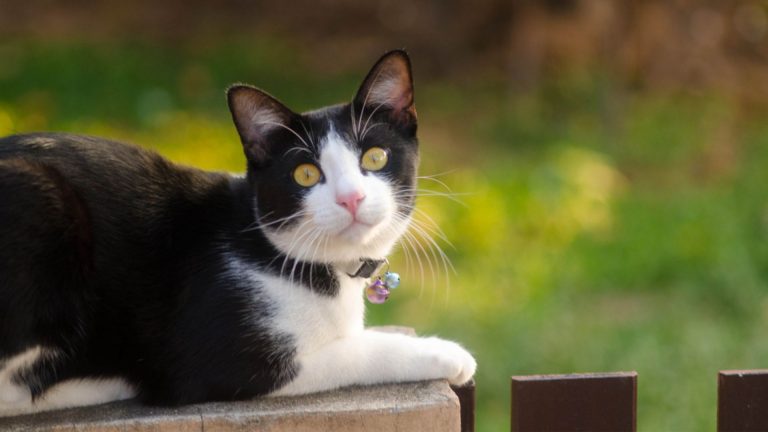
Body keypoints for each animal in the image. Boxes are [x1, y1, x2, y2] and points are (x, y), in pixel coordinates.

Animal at [0, 49, 476, 416]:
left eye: (375, 157)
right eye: (306, 173)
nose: (351, 199)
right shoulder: (213, 357)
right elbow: (353, 350)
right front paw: (446, 353)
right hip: (43, 201)